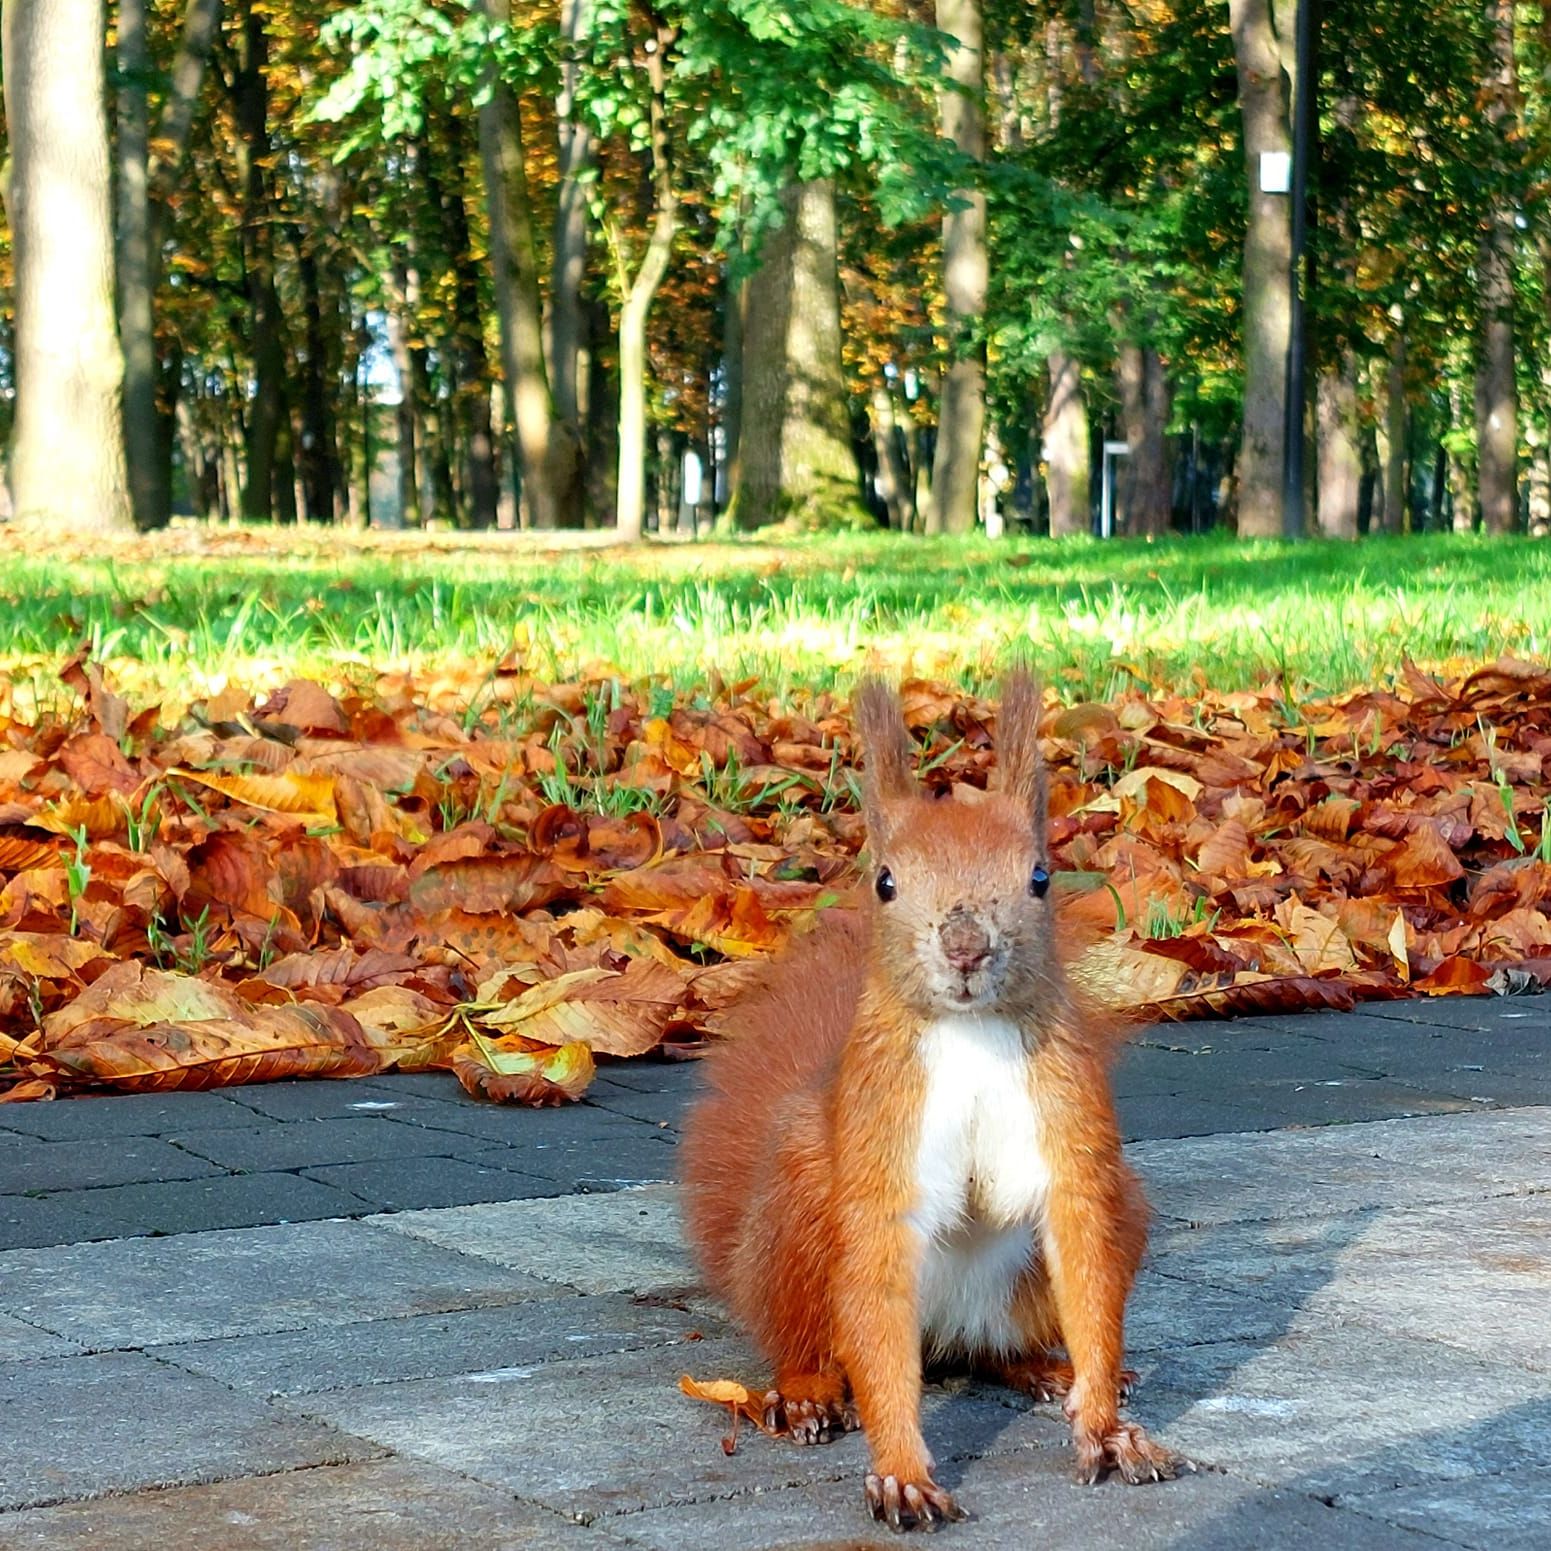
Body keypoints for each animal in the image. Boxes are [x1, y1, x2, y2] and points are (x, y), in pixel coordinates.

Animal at [685, 676, 1178, 1526]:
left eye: (1040, 877)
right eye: (885, 881)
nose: (965, 946)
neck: (969, 1034)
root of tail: (944, 1332)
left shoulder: (1071, 1134)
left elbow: (1084, 1253)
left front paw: (1107, 1429)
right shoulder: (882, 1142)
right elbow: (877, 1282)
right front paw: (902, 1472)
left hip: (1110, 1221)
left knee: (992, 1351)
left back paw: (1049, 1368)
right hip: (798, 1211)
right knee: (815, 1339)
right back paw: (807, 1391)